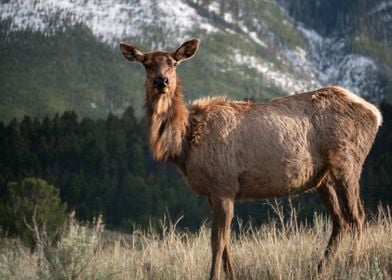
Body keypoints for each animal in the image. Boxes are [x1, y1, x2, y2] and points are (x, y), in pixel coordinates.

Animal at [120, 38, 382, 278]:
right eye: (146, 64)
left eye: (173, 63)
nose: (161, 81)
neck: (183, 146)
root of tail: (375, 114)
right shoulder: (214, 192)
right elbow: (226, 243)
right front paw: (232, 276)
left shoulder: (224, 185)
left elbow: (217, 242)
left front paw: (214, 276)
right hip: (323, 178)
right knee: (340, 221)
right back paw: (320, 270)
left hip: (348, 162)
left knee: (358, 216)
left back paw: (351, 267)